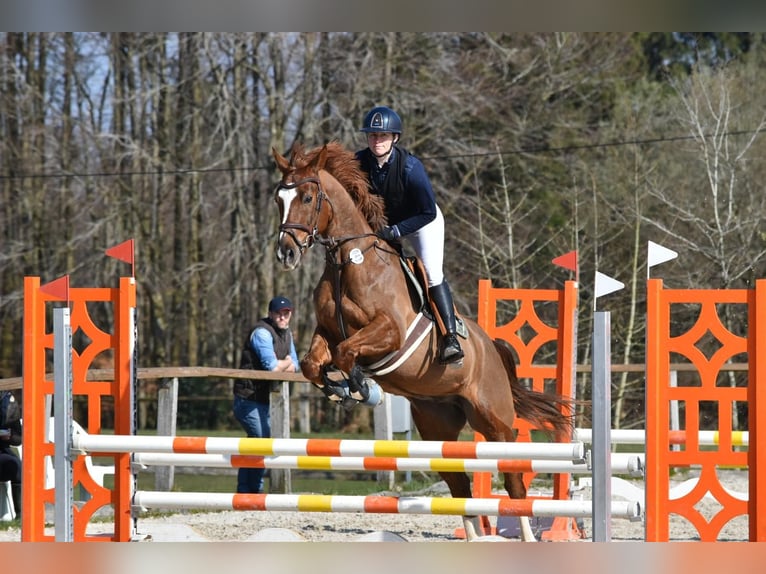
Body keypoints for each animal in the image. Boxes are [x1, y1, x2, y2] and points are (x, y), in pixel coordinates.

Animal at [272, 141, 575, 541]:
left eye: (307, 197)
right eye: (279, 198)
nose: (286, 253)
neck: (349, 262)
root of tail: (492, 348)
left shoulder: (390, 333)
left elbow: (347, 353)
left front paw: (361, 388)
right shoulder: (326, 330)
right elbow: (313, 363)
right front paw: (339, 390)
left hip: (494, 420)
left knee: (514, 482)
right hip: (437, 425)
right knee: (460, 487)